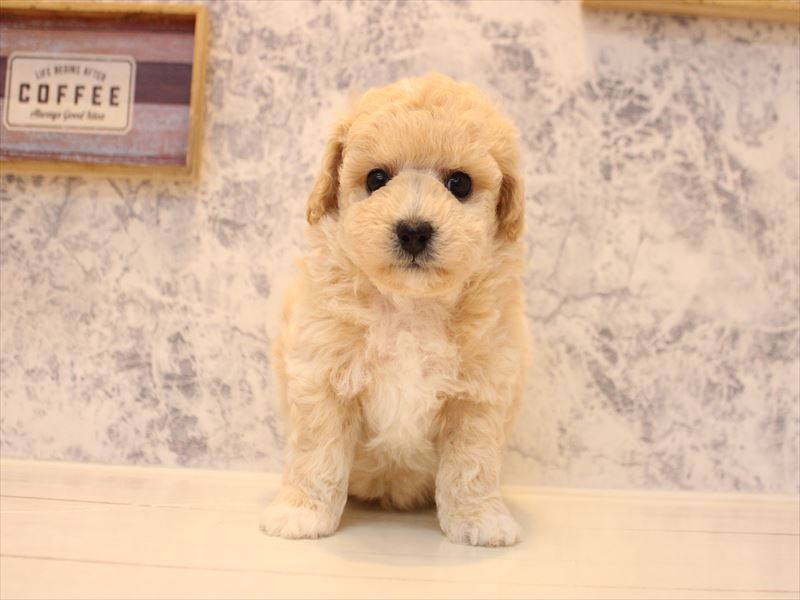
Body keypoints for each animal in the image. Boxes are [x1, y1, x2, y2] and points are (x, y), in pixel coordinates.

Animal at [260, 73, 528, 547]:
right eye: (376, 178)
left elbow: (472, 465)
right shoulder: (322, 377)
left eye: (460, 184)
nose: (414, 230)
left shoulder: (479, 394)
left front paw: (480, 520)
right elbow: (316, 454)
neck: (410, 306)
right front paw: (301, 513)